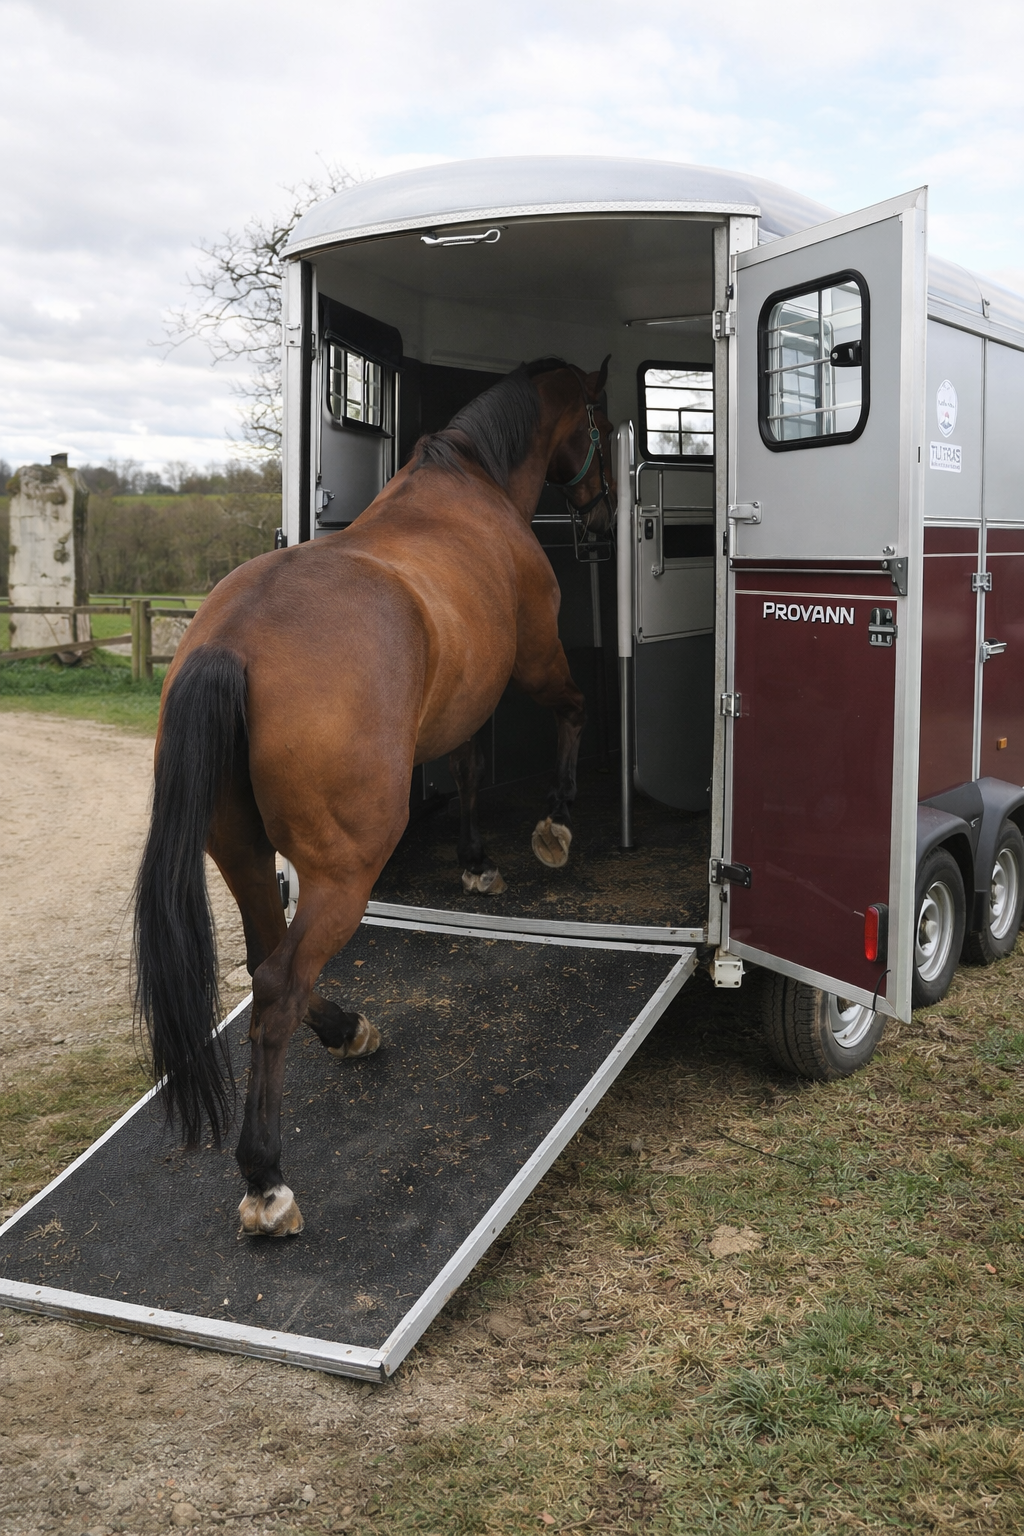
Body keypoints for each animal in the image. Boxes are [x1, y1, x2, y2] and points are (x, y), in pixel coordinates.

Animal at [133, 356, 616, 1238]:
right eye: (601, 418)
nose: (599, 516)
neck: (470, 483)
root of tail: (231, 642)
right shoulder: (531, 660)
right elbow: (564, 716)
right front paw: (555, 824)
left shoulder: (464, 703)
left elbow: (467, 773)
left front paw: (475, 861)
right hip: (343, 871)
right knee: (280, 985)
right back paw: (266, 1178)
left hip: (242, 855)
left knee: (265, 960)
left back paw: (350, 1030)